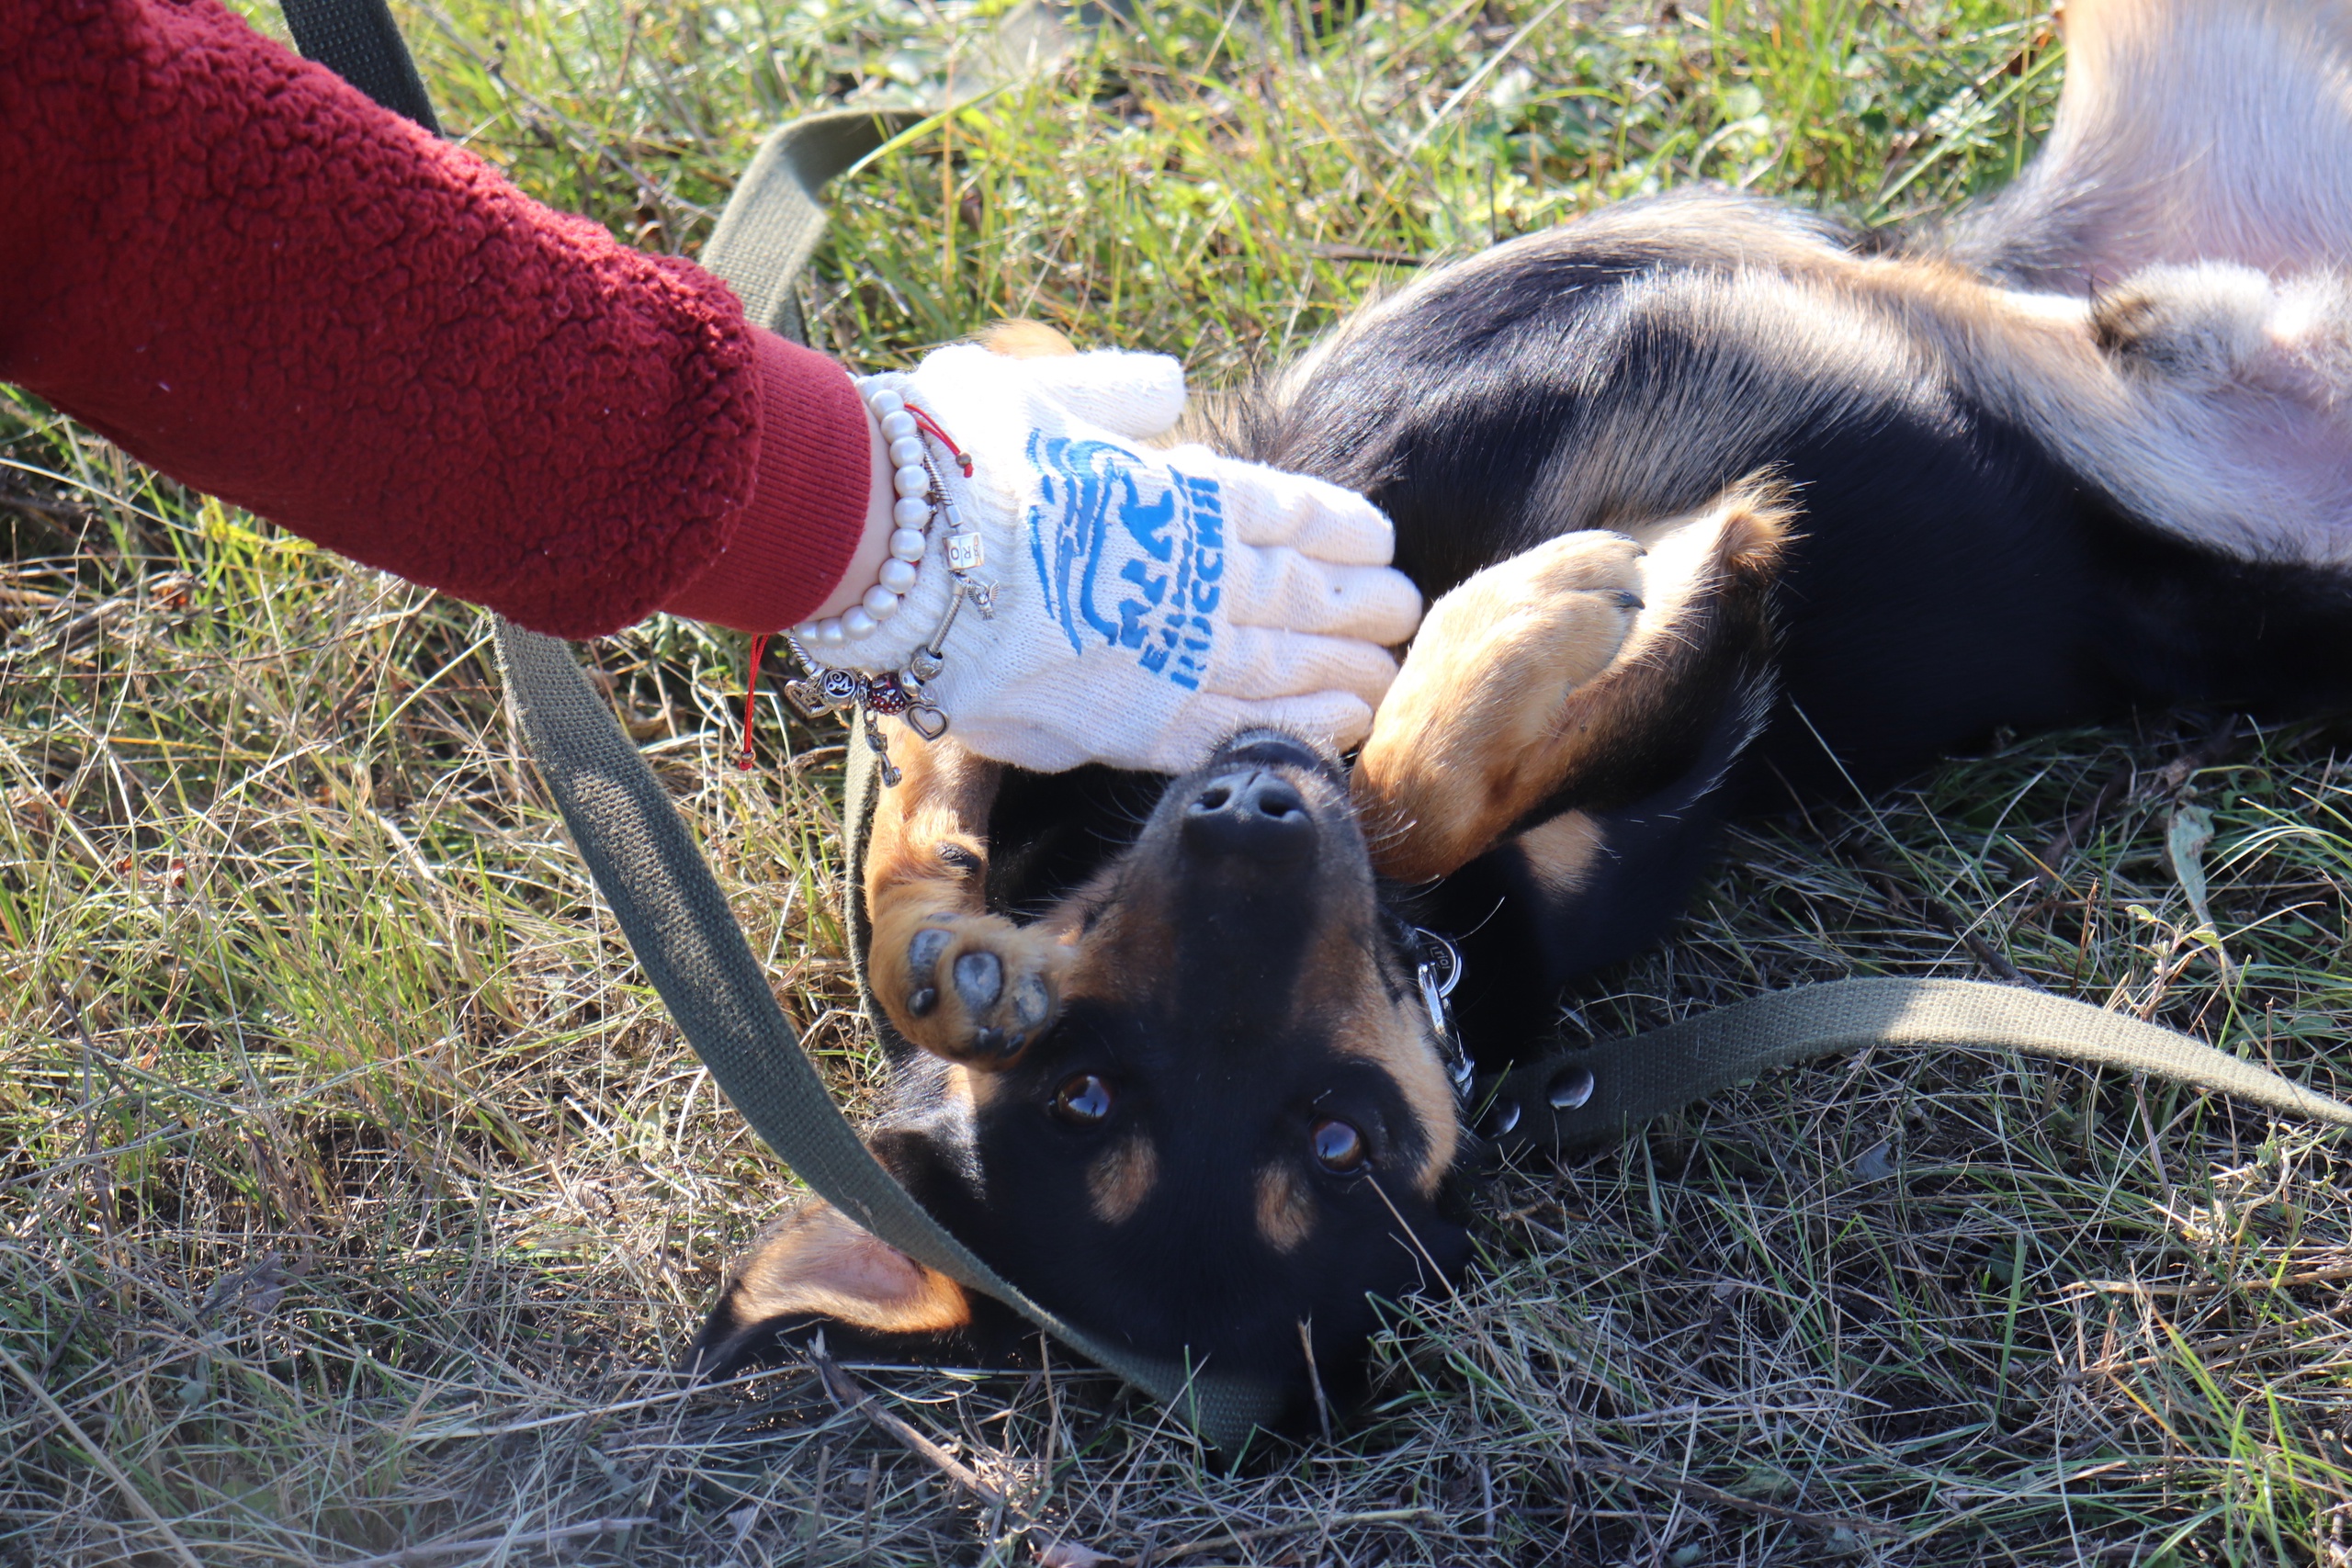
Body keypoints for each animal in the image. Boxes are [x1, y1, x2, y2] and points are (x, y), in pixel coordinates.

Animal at [686, 0, 2352, 1429]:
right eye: (1334, 1137)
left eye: (1071, 1073)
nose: (1256, 809)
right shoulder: (1706, 706)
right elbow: (1435, 773)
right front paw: (1527, 626)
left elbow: (931, 768)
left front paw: (949, 950)